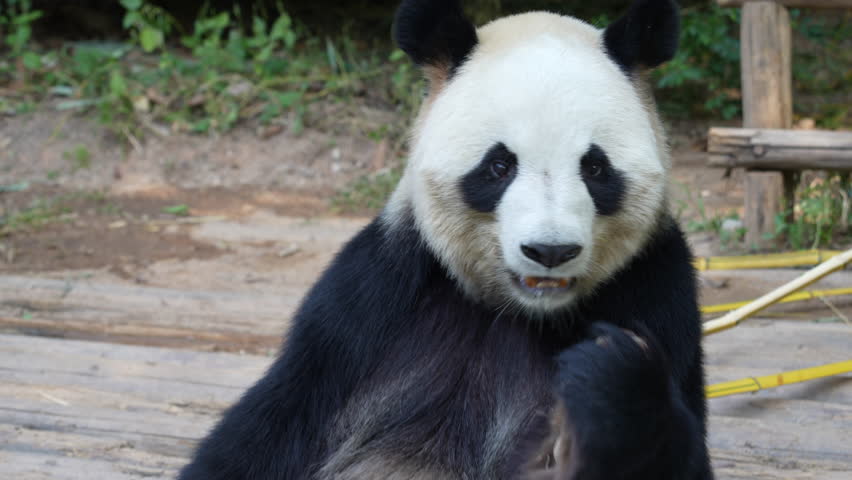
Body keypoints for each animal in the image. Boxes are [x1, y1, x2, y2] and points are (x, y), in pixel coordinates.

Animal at [179, 0, 712, 479]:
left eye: (595, 168)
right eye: (499, 166)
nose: (550, 251)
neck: (520, 313)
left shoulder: (656, 290)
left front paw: (611, 376)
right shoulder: (373, 302)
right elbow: (274, 425)